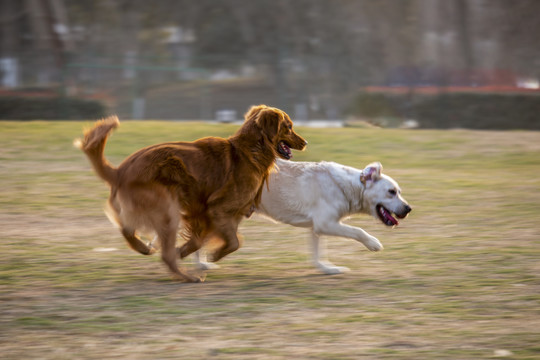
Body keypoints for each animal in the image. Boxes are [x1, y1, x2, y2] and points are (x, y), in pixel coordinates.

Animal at [75, 104, 308, 282]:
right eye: (289, 127)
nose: (306, 143)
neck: (249, 151)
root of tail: (120, 171)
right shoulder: (217, 209)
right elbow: (234, 242)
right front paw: (212, 256)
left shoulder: (208, 213)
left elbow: (203, 241)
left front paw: (186, 251)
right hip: (167, 210)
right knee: (163, 254)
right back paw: (188, 277)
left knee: (127, 229)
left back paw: (144, 248)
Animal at [196, 159, 412, 274]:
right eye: (391, 192)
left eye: (400, 191)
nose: (409, 208)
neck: (349, 187)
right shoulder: (327, 223)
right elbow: (358, 231)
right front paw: (373, 243)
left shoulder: (317, 228)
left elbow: (318, 253)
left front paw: (327, 268)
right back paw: (202, 264)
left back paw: (203, 264)